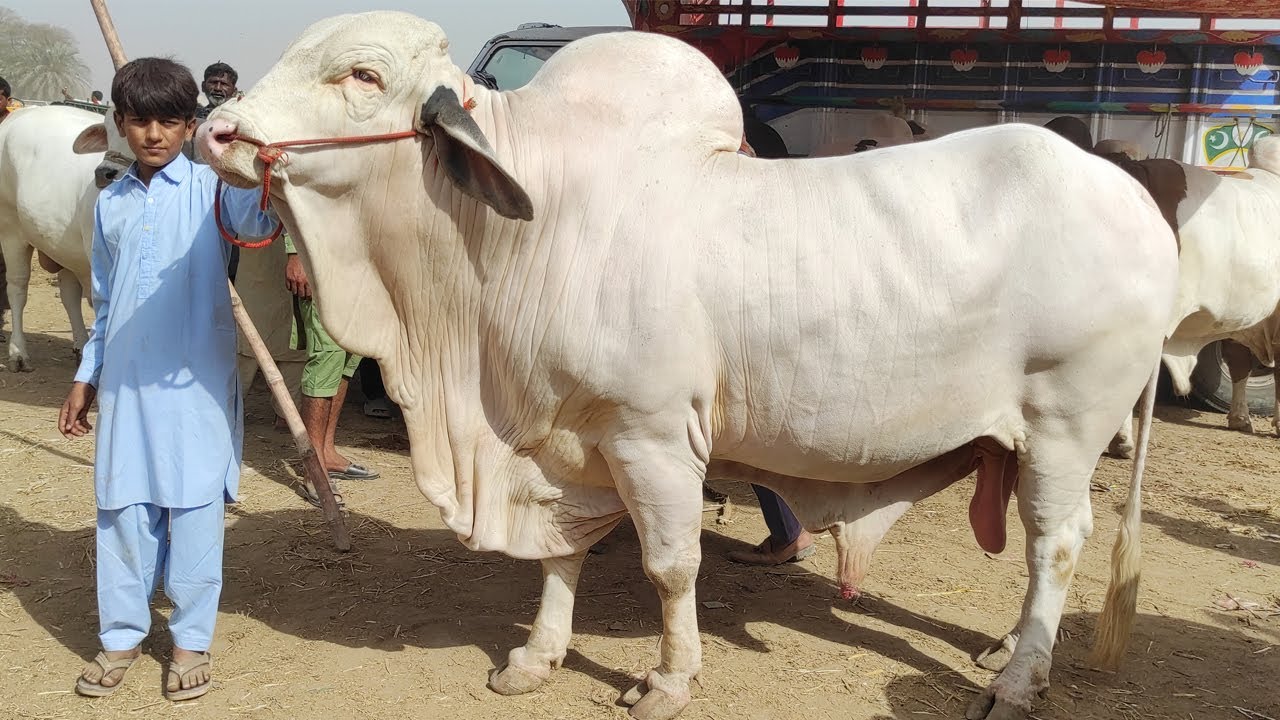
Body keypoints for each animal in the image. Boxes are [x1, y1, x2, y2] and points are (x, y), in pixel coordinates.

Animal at [0, 105, 127, 371]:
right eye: (110, 131)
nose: (105, 174)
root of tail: (26, 109)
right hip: (10, 229)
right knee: (17, 288)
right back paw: (18, 353)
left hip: (64, 247)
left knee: (69, 295)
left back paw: (80, 345)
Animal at [199, 13, 1179, 720]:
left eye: (360, 75)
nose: (219, 131)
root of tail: (1137, 201)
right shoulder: (565, 442)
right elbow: (561, 555)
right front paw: (537, 657)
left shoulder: (653, 437)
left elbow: (671, 566)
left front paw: (668, 680)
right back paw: (1009, 648)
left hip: (1066, 426)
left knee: (1056, 543)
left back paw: (1018, 681)